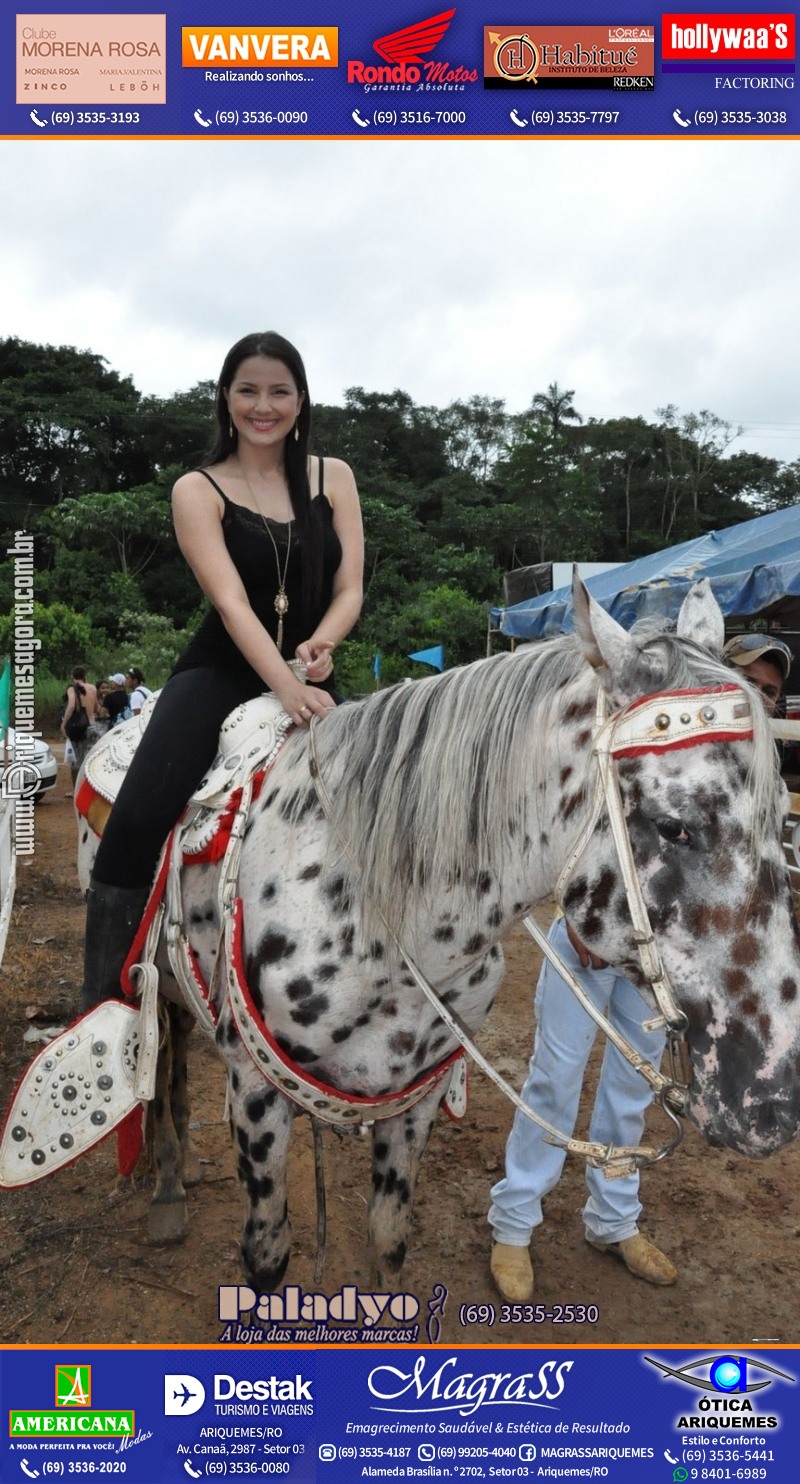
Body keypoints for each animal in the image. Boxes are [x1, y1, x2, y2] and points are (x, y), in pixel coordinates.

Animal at [1, 572, 800, 1294]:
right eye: (675, 826)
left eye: (777, 820)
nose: (772, 1103)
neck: (374, 915)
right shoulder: (257, 1095)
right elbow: (266, 1256)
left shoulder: (413, 1105)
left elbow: (388, 1244)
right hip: (154, 980)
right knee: (159, 1057)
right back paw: (167, 1186)